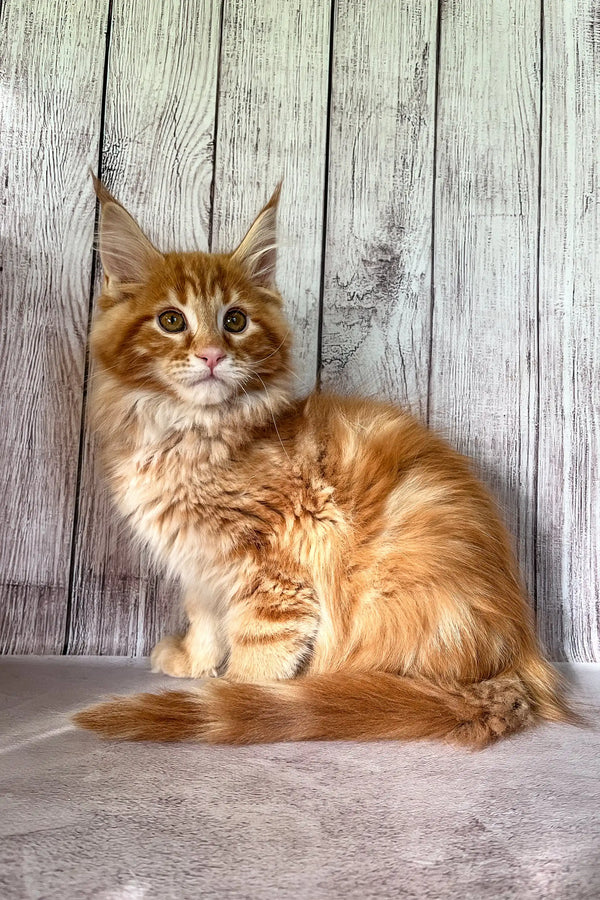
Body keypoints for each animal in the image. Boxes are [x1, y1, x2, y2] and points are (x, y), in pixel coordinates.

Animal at [72, 176, 576, 744]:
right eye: (171, 320)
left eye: (235, 321)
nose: (212, 355)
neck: (191, 435)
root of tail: (517, 666)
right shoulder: (201, 568)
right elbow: (206, 620)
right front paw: (194, 660)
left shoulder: (275, 571)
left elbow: (259, 650)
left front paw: (237, 694)